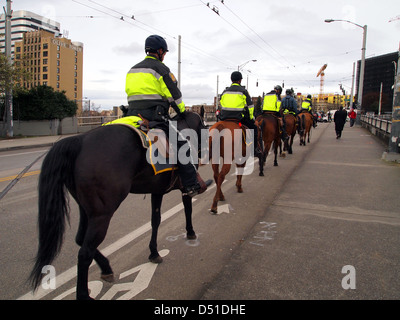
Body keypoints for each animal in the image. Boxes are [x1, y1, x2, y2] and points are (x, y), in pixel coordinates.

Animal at [28, 110, 209, 300]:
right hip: (102, 213)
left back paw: (106, 268)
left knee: (80, 239)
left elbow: (155, 221)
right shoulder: (184, 187)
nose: (205, 153)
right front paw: (190, 232)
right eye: (204, 127)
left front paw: (154, 252)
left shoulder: (157, 191)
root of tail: (79, 141)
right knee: (85, 252)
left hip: (86, 209)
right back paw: (84, 293)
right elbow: (187, 209)